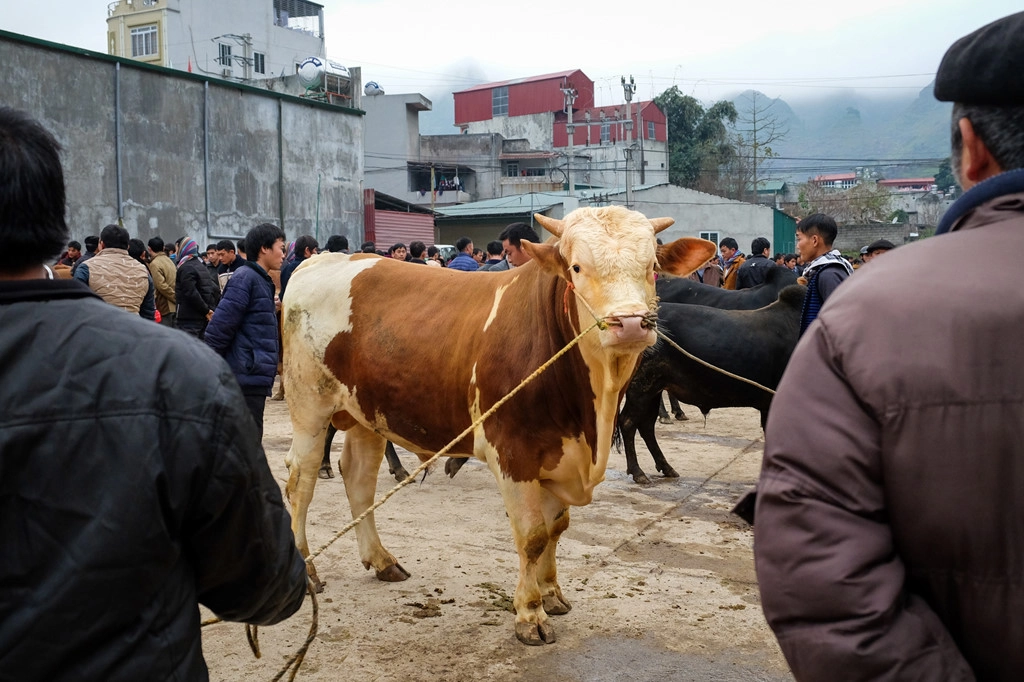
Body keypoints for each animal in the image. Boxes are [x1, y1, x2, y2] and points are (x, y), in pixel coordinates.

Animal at [280, 205, 712, 643]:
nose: (631, 323)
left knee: (359, 480)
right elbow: (532, 535)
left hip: (366, 414)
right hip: (310, 406)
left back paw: (382, 560)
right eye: (576, 267)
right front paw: (529, 613)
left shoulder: (558, 453)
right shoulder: (513, 451)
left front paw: (552, 593)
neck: (591, 413)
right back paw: (307, 571)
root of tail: (322, 261)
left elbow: (557, 527)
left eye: (652, 268)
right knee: (300, 483)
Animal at [614, 284, 806, 481]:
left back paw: (666, 467)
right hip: (641, 388)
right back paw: (638, 472)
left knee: (646, 426)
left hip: (654, 389)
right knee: (628, 422)